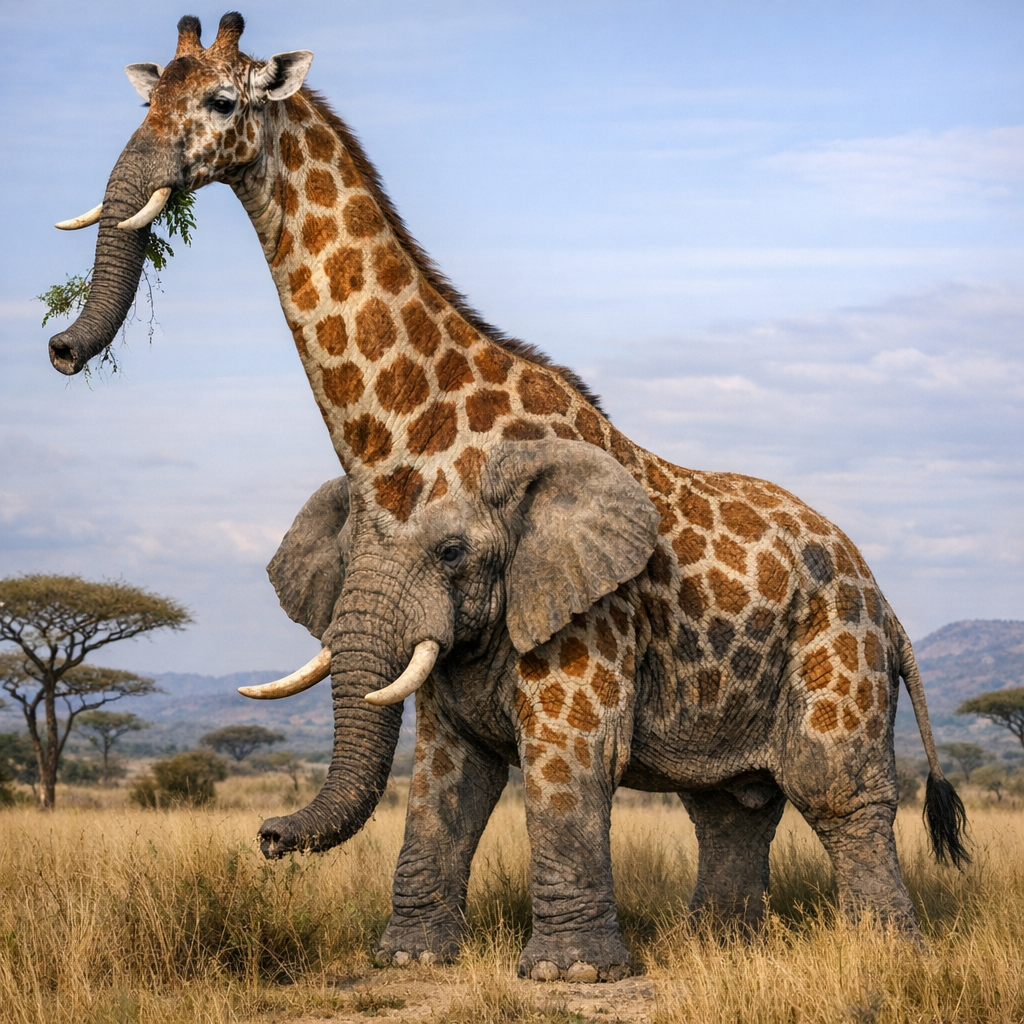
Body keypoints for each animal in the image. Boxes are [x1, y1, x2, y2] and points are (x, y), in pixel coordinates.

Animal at [49, 13, 967, 981]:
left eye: (224, 101)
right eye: (147, 99)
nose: (63, 352)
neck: (412, 435)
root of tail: (887, 601)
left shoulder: (574, 633)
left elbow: (565, 772)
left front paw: (571, 974)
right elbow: (439, 789)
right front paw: (411, 960)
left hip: (840, 660)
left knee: (840, 794)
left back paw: (886, 956)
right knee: (731, 804)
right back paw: (716, 948)